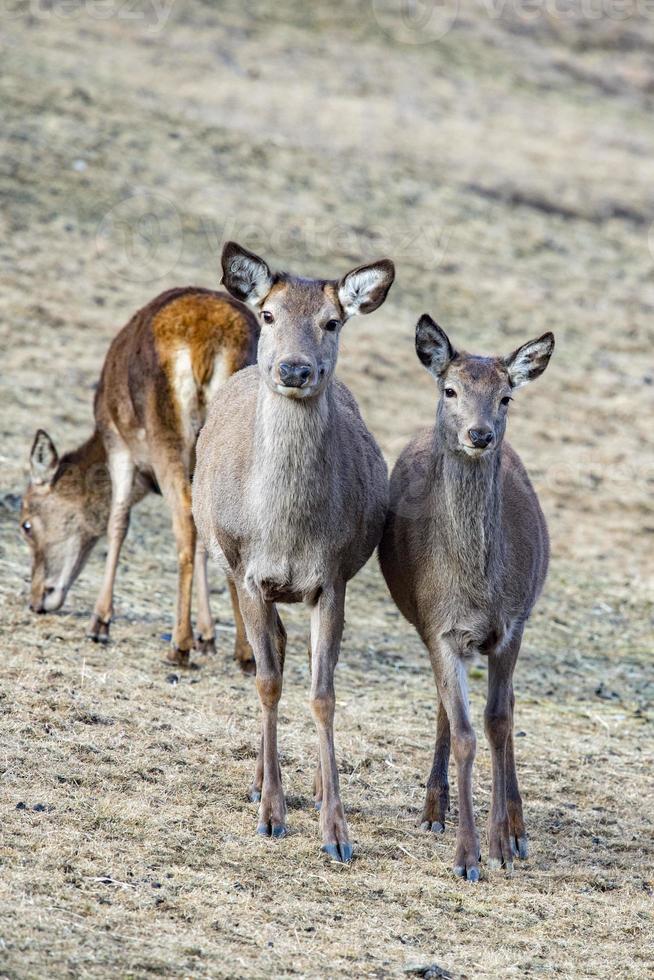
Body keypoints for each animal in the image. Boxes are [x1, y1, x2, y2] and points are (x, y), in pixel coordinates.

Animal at [20, 284, 262, 668]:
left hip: (165, 432)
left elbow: (117, 522)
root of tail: (209, 345)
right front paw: (208, 637)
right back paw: (244, 651)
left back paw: (178, 645)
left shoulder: (118, 442)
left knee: (183, 521)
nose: (37, 600)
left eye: (26, 525)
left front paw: (99, 623)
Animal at [192, 241, 398, 860]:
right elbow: (266, 681)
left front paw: (337, 832)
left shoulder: (332, 579)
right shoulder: (248, 573)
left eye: (333, 322)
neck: (286, 532)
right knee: (272, 660)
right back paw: (262, 780)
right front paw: (270, 814)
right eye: (267, 315)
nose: (294, 369)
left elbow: (323, 693)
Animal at [376, 318, 556, 884]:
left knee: (509, 709)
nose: (480, 434)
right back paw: (434, 810)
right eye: (450, 390)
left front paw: (502, 845)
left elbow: (499, 722)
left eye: (506, 396)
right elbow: (465, 733)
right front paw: (467, 857)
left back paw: (517, 828)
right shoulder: (439, 627)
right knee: (445, 707)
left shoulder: (512, 624)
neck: (477, 589)